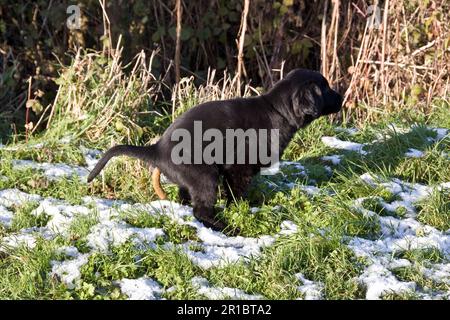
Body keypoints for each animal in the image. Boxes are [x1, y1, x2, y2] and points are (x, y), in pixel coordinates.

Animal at [87, 68, 342, 232]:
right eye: (326, 88)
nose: (342, 97)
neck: (277, 110)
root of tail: (157, 149)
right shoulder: (239, 168)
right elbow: (236, 194)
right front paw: (239, 210)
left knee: (186, 199)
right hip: (205, 175)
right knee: (200, 211)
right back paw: (225, 227)